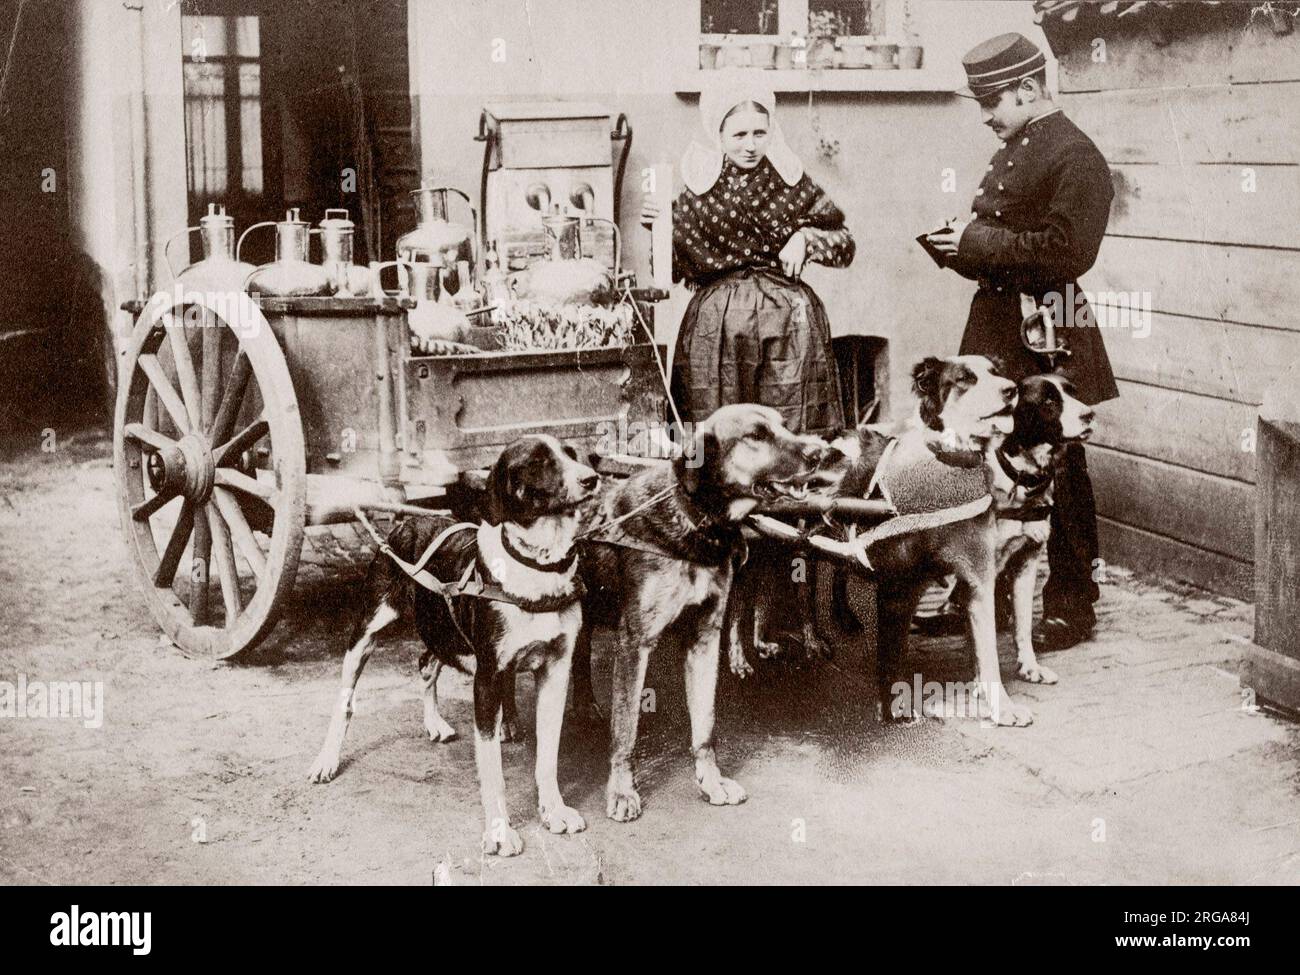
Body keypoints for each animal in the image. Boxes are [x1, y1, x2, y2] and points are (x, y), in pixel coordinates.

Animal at [309, 434, 598, 852]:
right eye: (538, 461)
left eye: (573, 454)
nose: (592, 478)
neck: (537, 569)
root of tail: (408, 520)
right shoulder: (487, 678)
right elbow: (492, 770)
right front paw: (500, 831)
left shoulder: (555, 671)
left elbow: (547, 756)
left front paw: (554, 811)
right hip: (367, 632)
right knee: (345, 702)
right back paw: (327, 760)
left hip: (443, 631)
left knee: (426, 663)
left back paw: (434, 722)